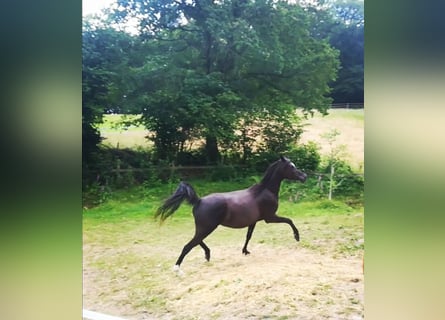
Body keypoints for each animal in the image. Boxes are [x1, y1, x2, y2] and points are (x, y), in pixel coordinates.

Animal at [155, 156, 306, 270]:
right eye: (291, 166)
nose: (304, 176)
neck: (264, 191)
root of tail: (198, 201)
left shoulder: (253, 221)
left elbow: (248, 236)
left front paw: (245, 251)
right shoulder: (270, 218)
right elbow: (289, 220)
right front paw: (297, 236)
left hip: (204, 228)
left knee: (196, 241)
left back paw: (207, 255)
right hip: (208, 227)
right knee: (190, 244)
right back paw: (177, 268)